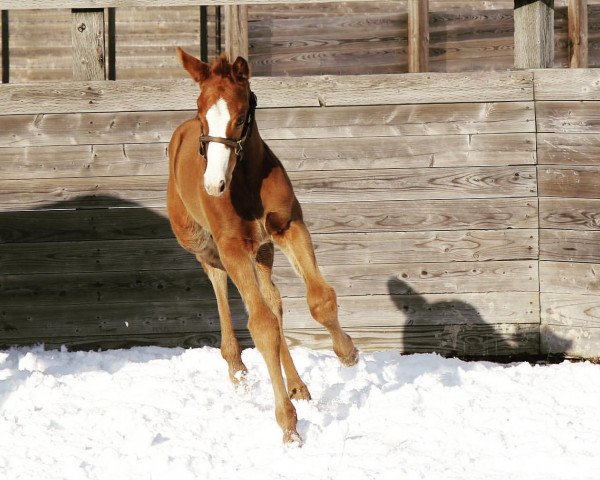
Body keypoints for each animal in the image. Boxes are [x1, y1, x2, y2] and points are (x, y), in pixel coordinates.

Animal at [166, 50, 358, 444]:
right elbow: (261, 325)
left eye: (241, 117)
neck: (245, 180)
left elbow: (318, 299)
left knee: (272, 299)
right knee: (216, 276)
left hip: (263, 251)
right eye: (201, 113)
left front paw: (347, 353)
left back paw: (298, 385)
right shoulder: (232, 248)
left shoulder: (288, 227)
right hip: (200, 241)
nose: (213, 185)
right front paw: (288, 425)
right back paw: (236, 366)